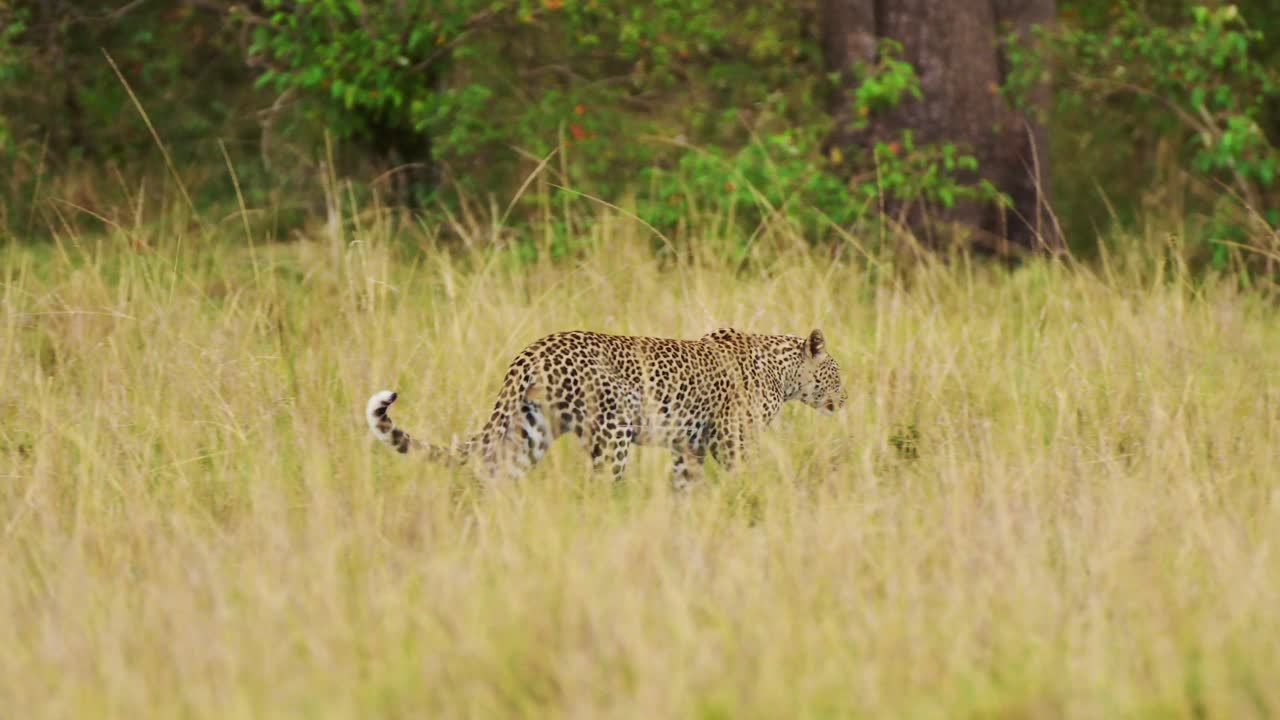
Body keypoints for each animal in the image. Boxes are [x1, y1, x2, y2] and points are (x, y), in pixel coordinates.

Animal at [365, 327, 846, 490]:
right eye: (837, 373)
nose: (844, 400)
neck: (784, 370)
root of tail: (533, 351)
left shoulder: (688, 447)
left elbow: (685, 488)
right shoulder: (732, 439)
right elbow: (745, 478)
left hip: (529, 431)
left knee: (496, 475)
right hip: (613, 432)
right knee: (600, 490)